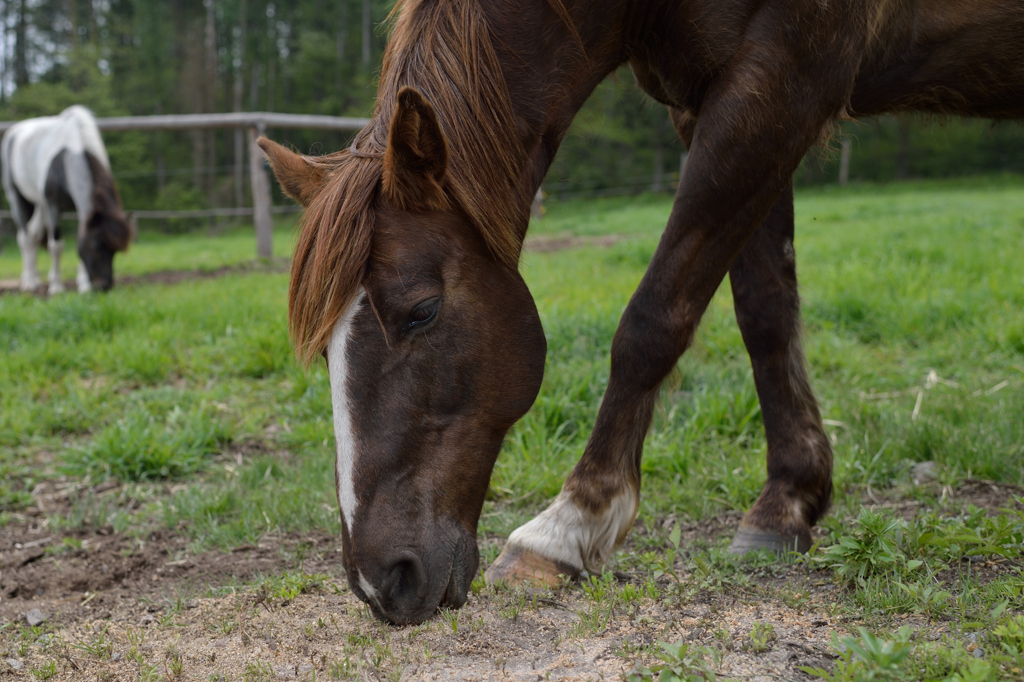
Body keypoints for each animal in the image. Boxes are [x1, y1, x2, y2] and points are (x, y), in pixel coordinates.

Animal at [2, 104, 132, 290]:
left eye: (114, 251)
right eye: (96, 245)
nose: (103, 286)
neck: (70, 152)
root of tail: (14, 131)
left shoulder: (78, 209)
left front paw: (84, 285)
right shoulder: (53, 205)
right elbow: (56, 246)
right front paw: (56, 286)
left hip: (40, 205)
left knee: (33, 235)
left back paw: (35, 279)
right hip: (18, 199)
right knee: (24, 237)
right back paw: (29, 282)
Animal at [258, 0, 1024, 622]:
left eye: (419, 311)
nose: (379, 581)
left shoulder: (782, 86)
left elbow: (654, 319)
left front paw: (568, 526)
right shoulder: (722, 105)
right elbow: (765, 311)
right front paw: (787, 502)